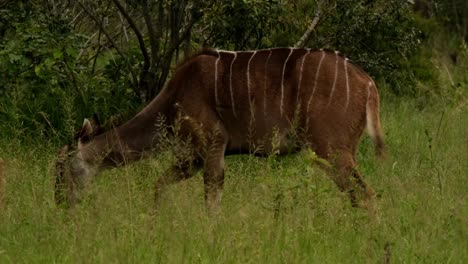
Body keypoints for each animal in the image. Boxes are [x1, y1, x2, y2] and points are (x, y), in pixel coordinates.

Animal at [54, 47, 384, 212]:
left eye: (62, 168)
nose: (60, 204)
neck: (173, 96)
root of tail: (367, 84)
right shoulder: (192, 158)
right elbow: (158, 186)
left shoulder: (212, 148)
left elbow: (211, 204)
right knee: (359, 195)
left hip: (331, 149)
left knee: (366, 194)